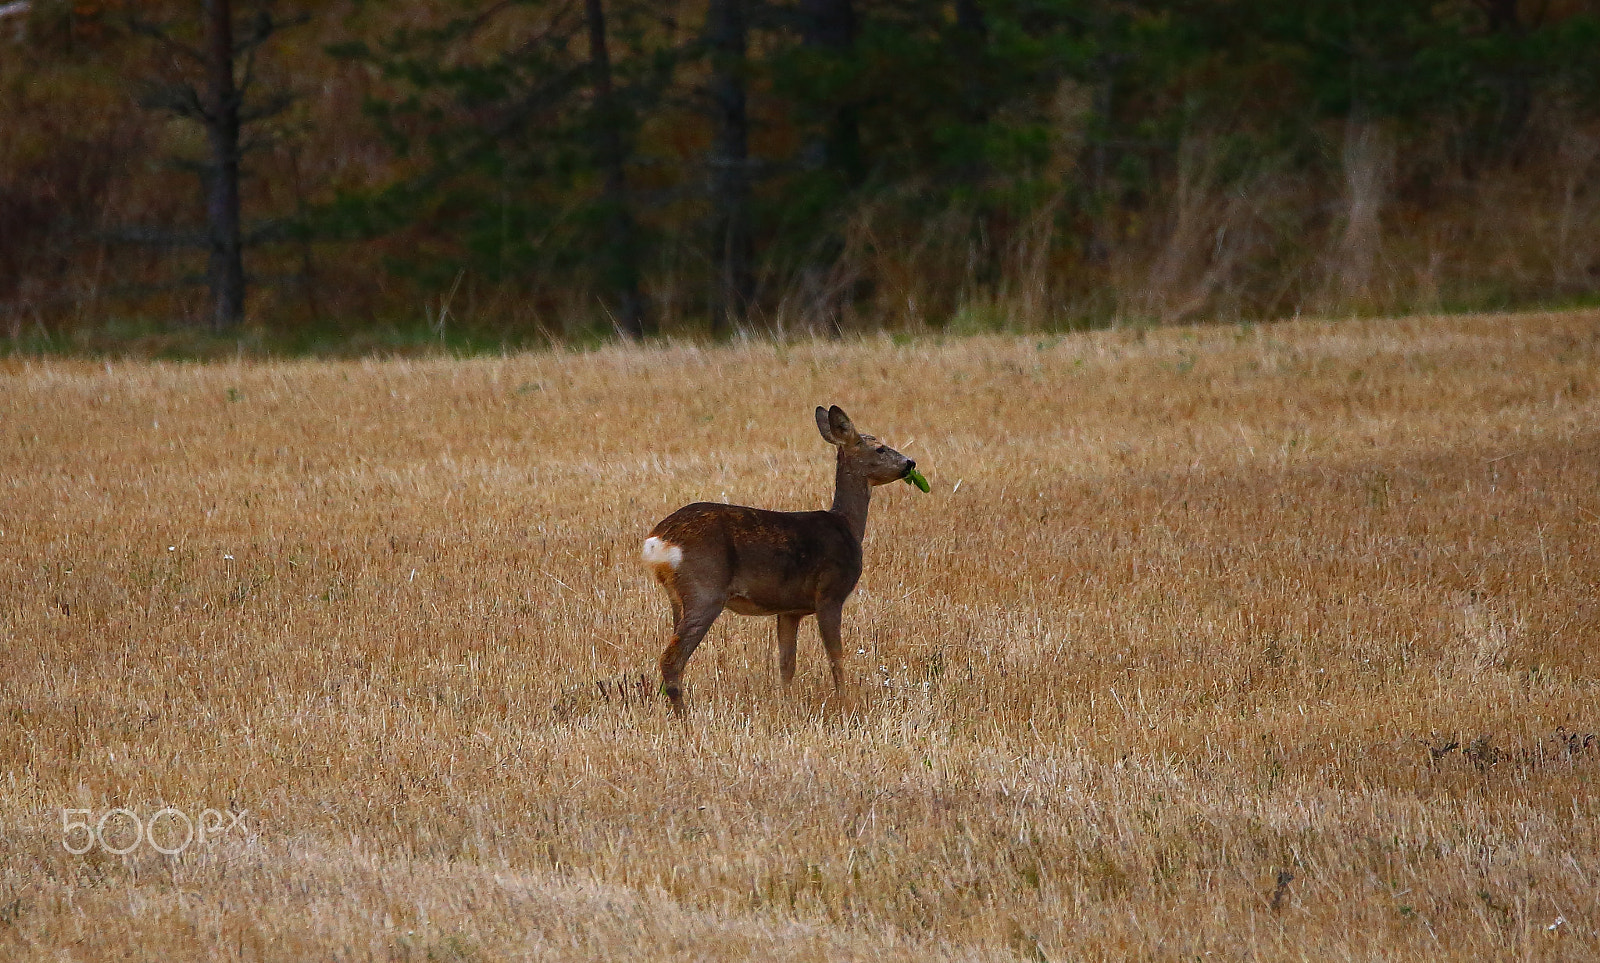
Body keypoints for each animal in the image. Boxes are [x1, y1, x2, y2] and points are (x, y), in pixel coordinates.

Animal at [641, 405, 926, 714]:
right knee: (671, 659)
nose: (910, 463)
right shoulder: (829, 593)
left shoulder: (789, 609)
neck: (847, 525)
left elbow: (787, 663)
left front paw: (786, 704)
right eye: (880, 448)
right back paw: (684, 717)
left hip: (677, 597)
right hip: (705, 588)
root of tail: (659, 539)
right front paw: (845, 702)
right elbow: (836, 657)